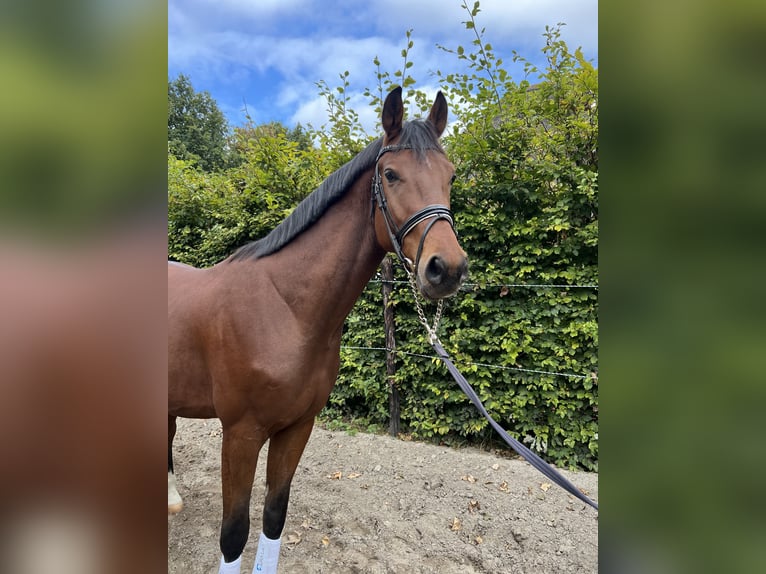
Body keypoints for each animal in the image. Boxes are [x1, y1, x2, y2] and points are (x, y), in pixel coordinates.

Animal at [168, 87, 468, 574]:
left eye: (451, 176)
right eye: (390, 174)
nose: (447, 268)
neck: (286, 310)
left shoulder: (297, 428)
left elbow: (274, 516)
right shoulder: (240, 435)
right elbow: (233, 534)